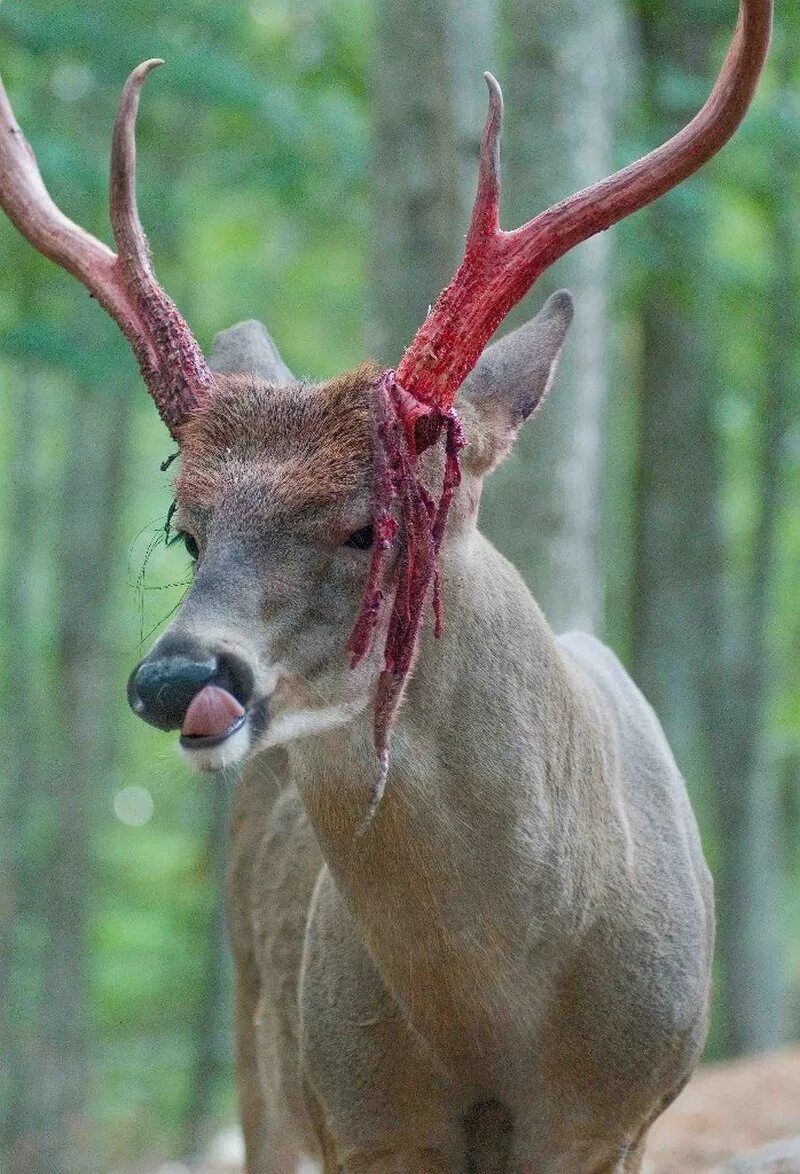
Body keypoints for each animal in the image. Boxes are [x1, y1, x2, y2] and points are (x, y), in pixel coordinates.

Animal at [1, 4, 775, 1169]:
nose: (177, 677)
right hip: (259, 1047)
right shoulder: (356, 1111)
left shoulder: (618, 1117)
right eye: (188, 530)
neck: (496, 1016)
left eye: (374, 524)